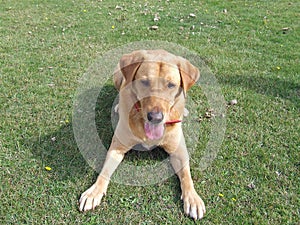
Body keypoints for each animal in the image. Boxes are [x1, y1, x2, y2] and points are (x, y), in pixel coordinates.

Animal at [78, 49, 206, 220]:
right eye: (144, 82)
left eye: (171, 85)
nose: (155, 117)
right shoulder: (116, 148)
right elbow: (104, 172)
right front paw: (94, 192)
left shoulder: (179, 152)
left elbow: (186, 175)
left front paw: (192, 198)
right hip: (117, 75)